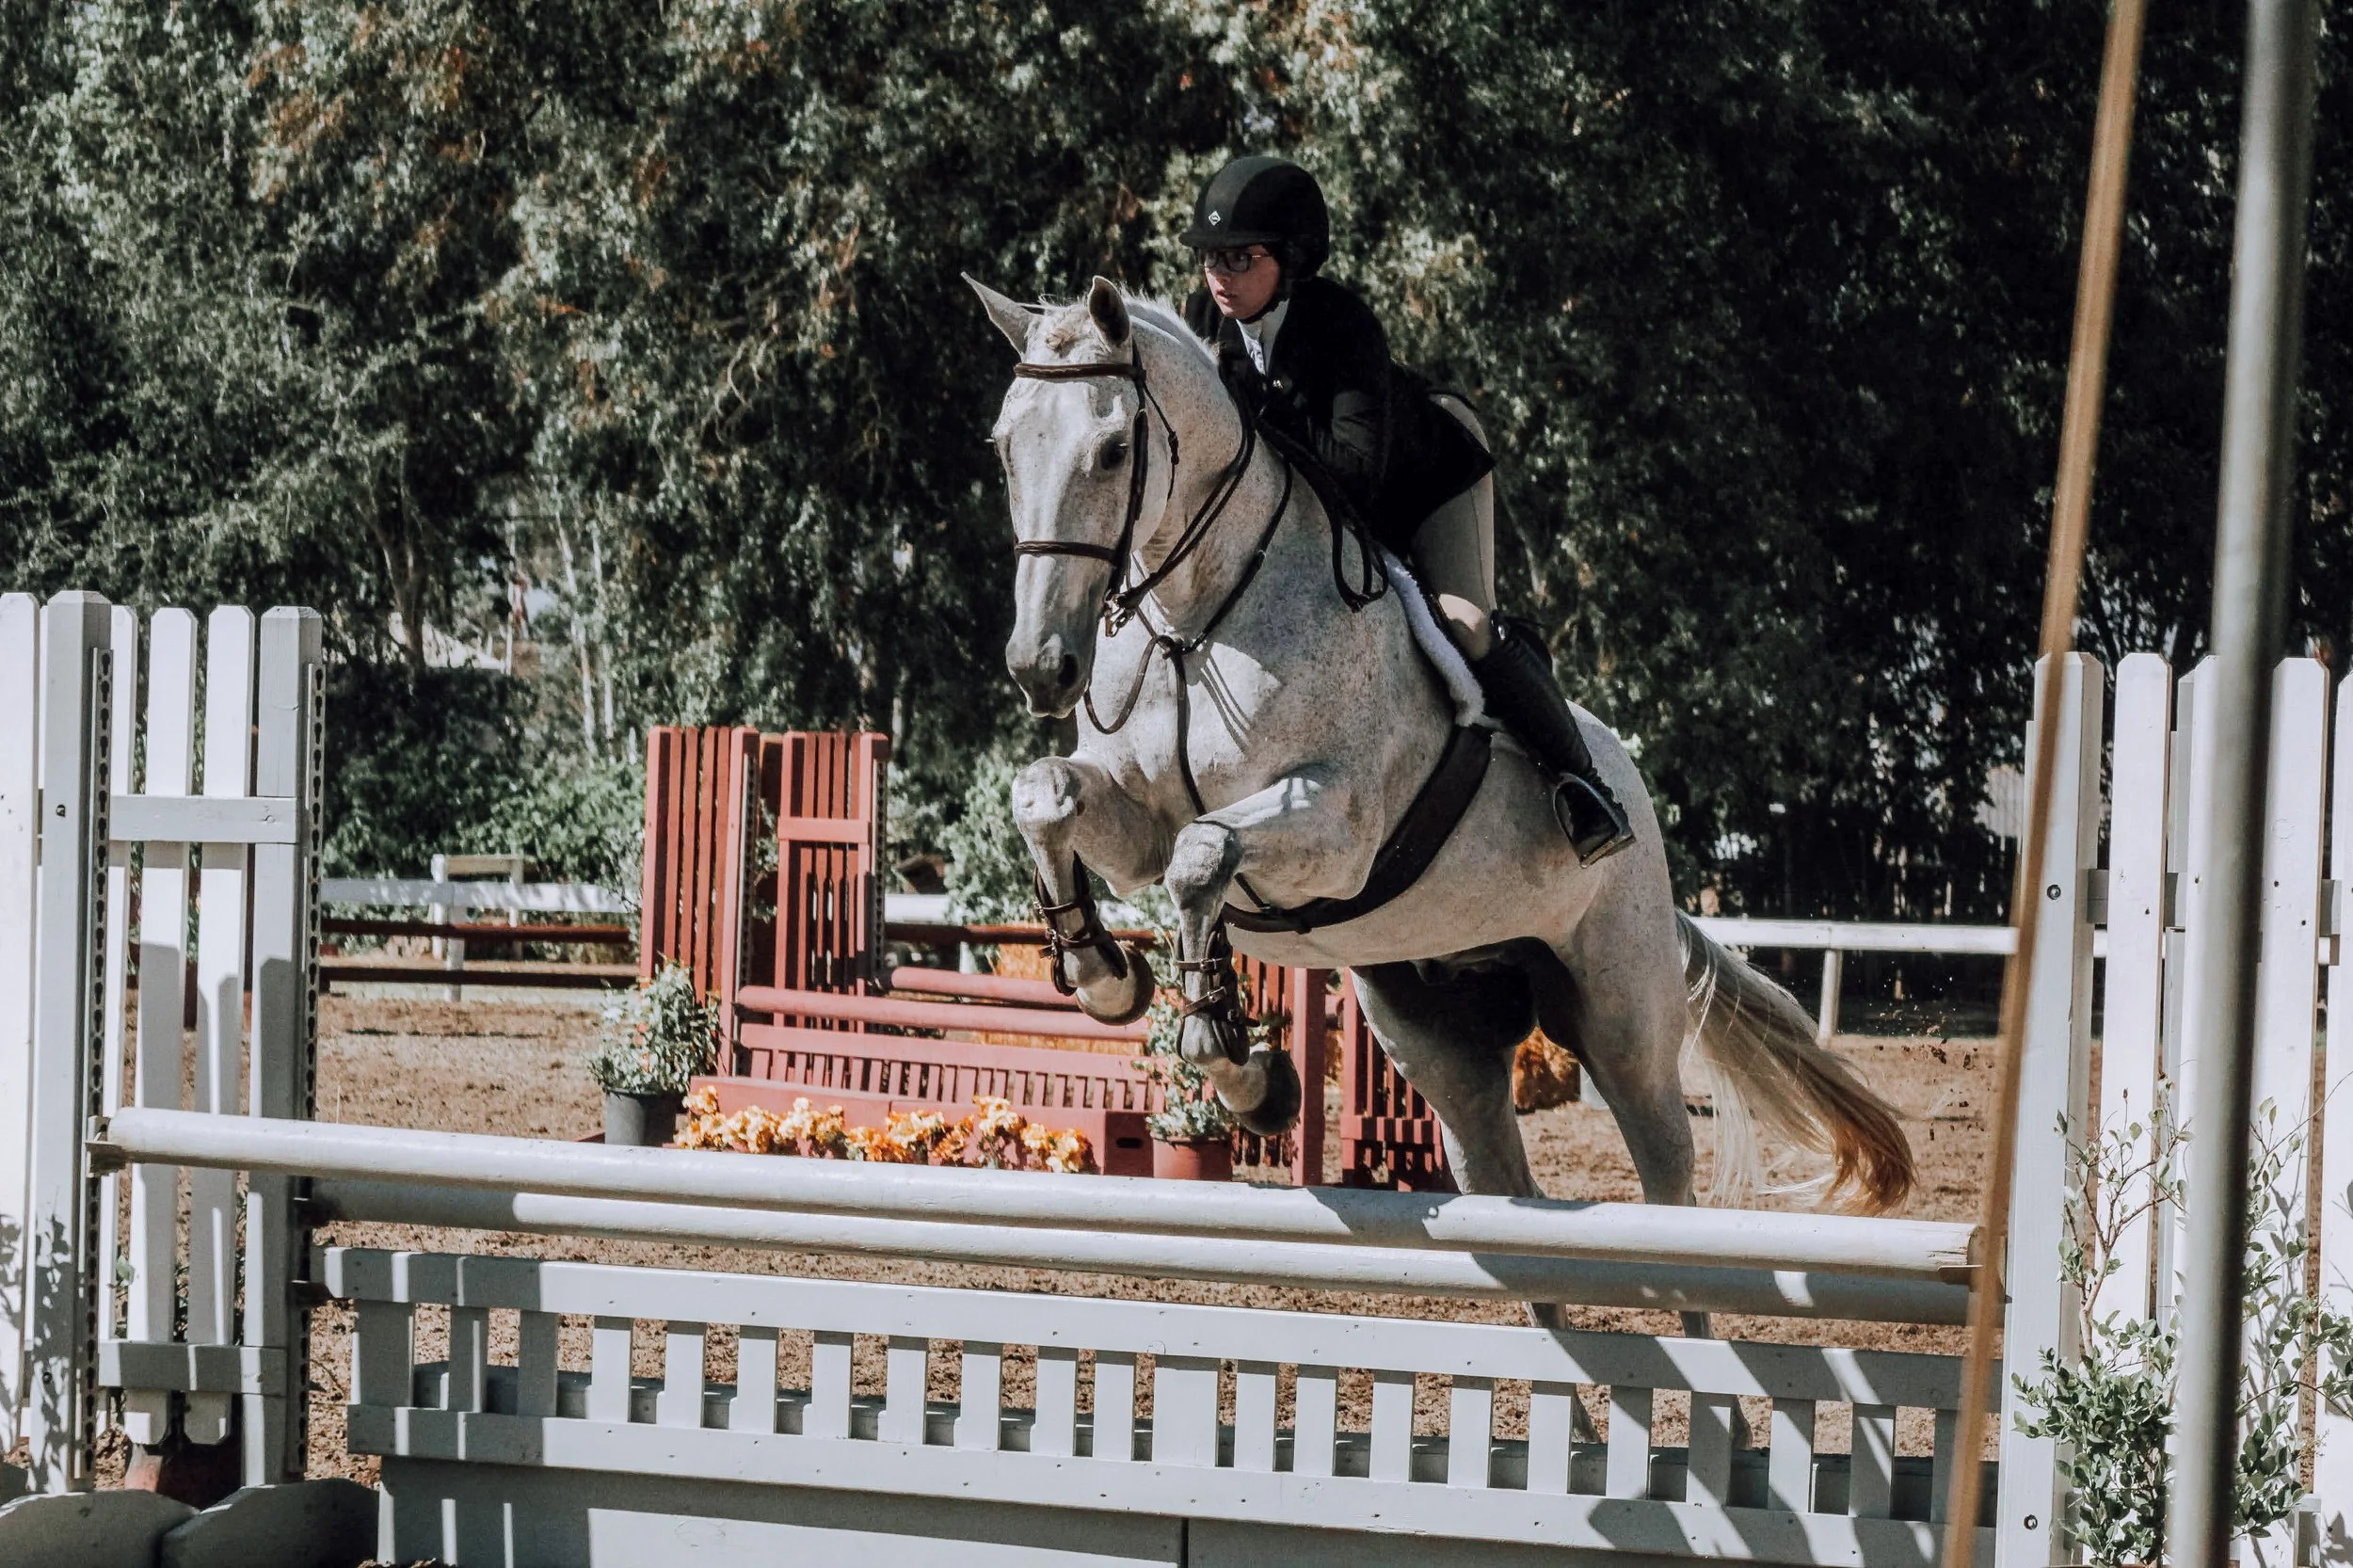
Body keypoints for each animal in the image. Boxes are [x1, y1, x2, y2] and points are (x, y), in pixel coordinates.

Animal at [968, 275, 1913, 1263]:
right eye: (1003, 448)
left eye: (1115, 450)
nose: (1042, 668)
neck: (1196, 621)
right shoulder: (1135, 827)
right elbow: (1047, 797)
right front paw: (1114, 982)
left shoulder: (1336, 831)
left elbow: (1203, 854)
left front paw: (1233, 1062)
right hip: (1435, 1035)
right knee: (1502, 1179)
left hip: (1624, 1017)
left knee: (1666, 1177)